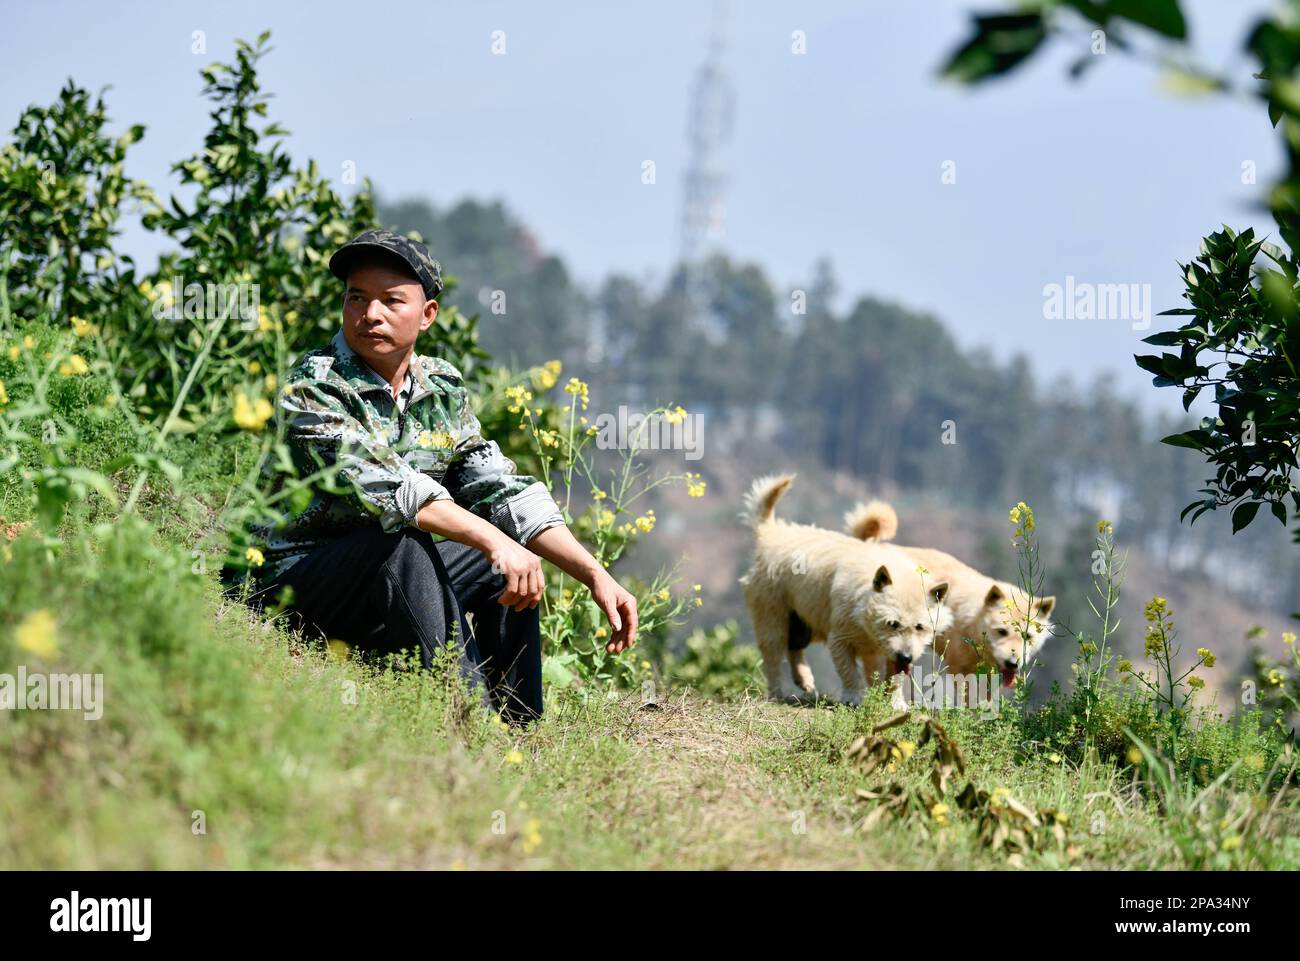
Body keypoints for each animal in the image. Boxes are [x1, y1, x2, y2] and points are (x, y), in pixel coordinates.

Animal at [743, 475, 956, 707]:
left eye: (920, 627)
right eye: (892, 623)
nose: (906, 657)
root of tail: (770, 532)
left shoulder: (883, 653)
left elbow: (893, 680)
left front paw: (895, 704)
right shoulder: (840, 638)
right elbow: (849, 672)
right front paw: (853, 698)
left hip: (807, 620)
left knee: (795, 648)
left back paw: (805, 680)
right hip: (773, 618)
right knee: (773, 656)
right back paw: (778, 693)